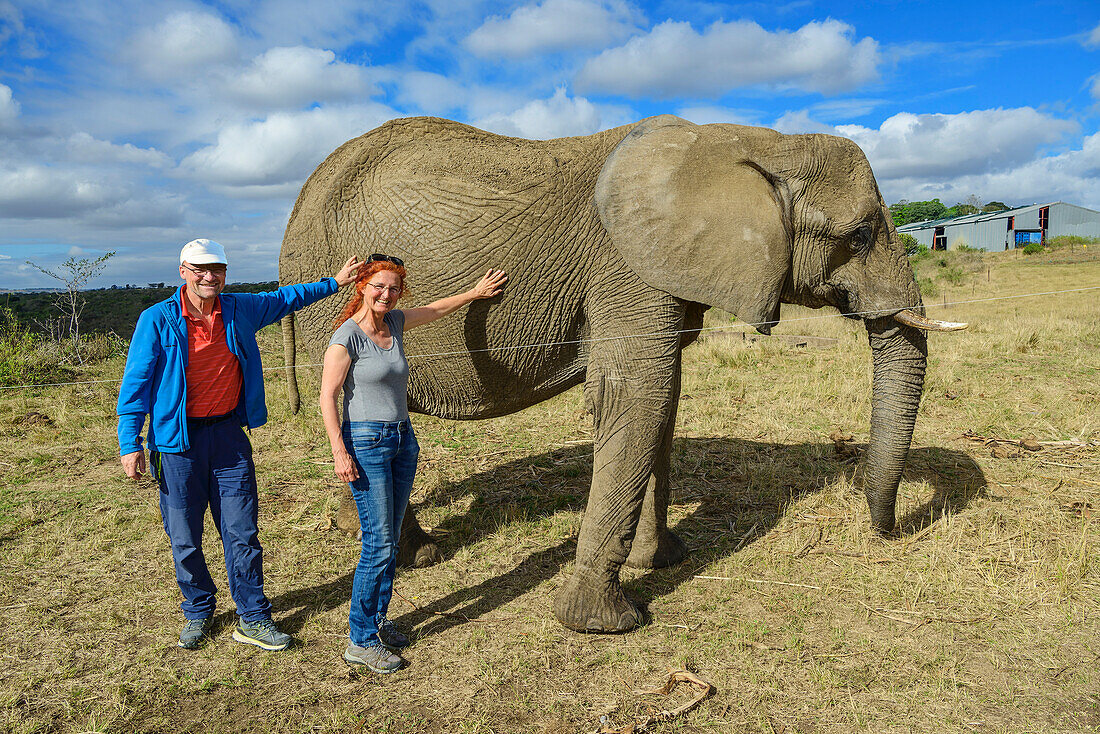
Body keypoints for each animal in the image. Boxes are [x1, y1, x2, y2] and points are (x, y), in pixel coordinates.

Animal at [279, 113, 968, 633]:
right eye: (860, 235)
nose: (884, 531)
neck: (750, 142)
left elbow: (664, 397)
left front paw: (661, 560)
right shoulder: (624, 266)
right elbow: (640, 395)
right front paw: (606, 622)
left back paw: (412, 548)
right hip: (325, 296)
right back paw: (404, 551)